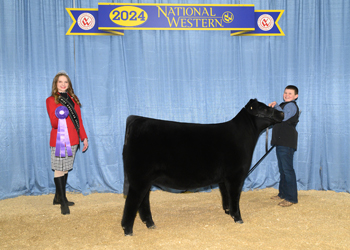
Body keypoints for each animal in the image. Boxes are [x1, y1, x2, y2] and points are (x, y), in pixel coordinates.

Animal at [121, 98, 284, 235]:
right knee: (132, 202)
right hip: (139, 178)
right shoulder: (236, 175)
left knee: (143, 201)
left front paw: (228, 212)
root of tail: (137, 119)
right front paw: (238, 218)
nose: (282, 112)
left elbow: (226, 195)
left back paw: (150, 224)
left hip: (145, 179)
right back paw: (128, 231)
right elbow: (235, 197)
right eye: (264, 108)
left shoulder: (224, 178)